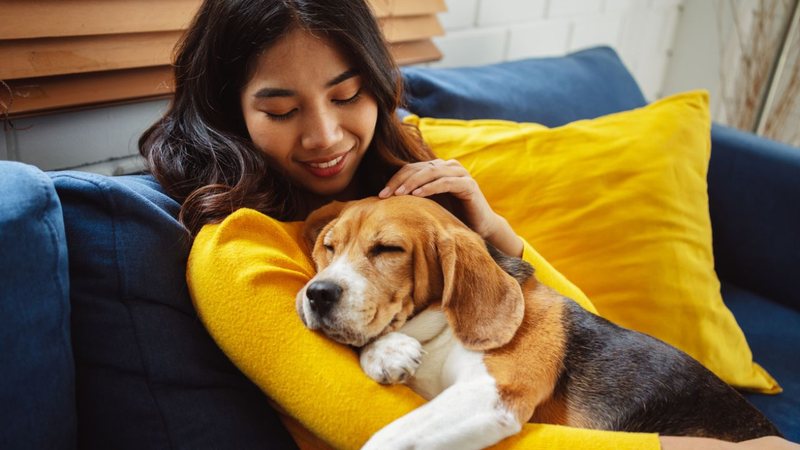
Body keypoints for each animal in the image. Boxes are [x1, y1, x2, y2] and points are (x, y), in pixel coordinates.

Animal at [296, 195, 780, 448]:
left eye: (388, 250)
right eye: (329, 247)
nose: (317, 294)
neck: (441, 330)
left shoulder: (492, 393)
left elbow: (386, 438)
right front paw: (387, 352)